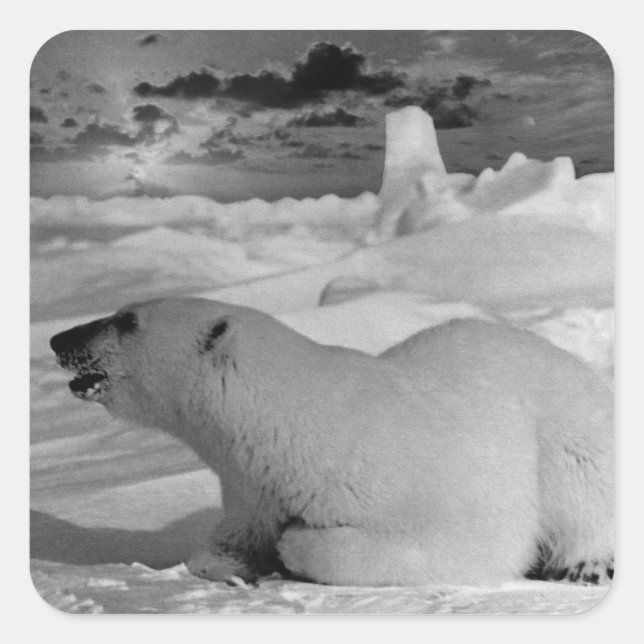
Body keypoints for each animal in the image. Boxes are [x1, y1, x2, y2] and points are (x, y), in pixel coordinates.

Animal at [49, 297, 614, 586]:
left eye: (127, 320)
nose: (58, 338)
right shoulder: (252, 487)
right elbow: (227, 541)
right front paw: (233, 569)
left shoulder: (409, 475)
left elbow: (470, 543)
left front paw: (294, 546)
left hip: (564, 425)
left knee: (580, 489)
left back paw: (585, 565)